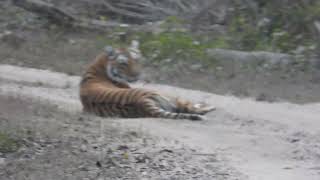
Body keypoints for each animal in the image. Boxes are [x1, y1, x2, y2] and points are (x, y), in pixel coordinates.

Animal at [79, 40, 215, 120]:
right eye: (124, 64)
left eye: (137, 60)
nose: (137, 75)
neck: (100, 64)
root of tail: (142, 102)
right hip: (167, 96)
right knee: (189, 107)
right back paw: (209, 107)